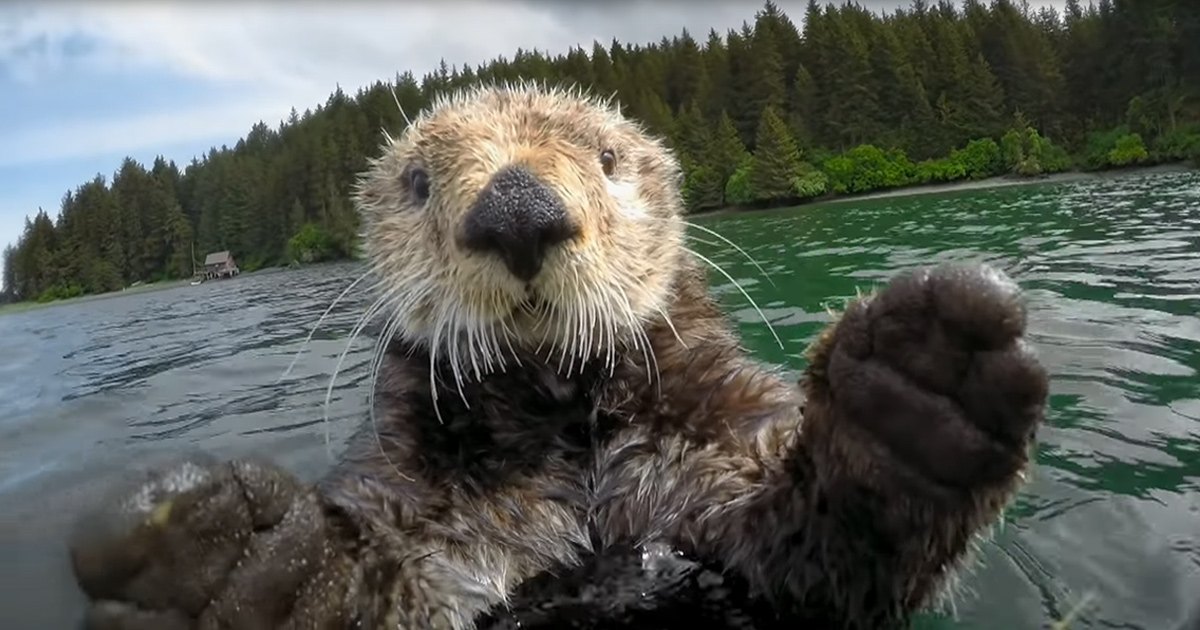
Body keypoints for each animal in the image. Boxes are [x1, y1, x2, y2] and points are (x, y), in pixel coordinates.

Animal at [66, 82, 1049, 630]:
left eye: (607, 156)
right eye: (418, 181)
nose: (517, 208)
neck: (562, 427)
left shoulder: (704, 450)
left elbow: (804, 547)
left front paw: (917, 396)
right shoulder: (427, 502)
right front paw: (256, 570)